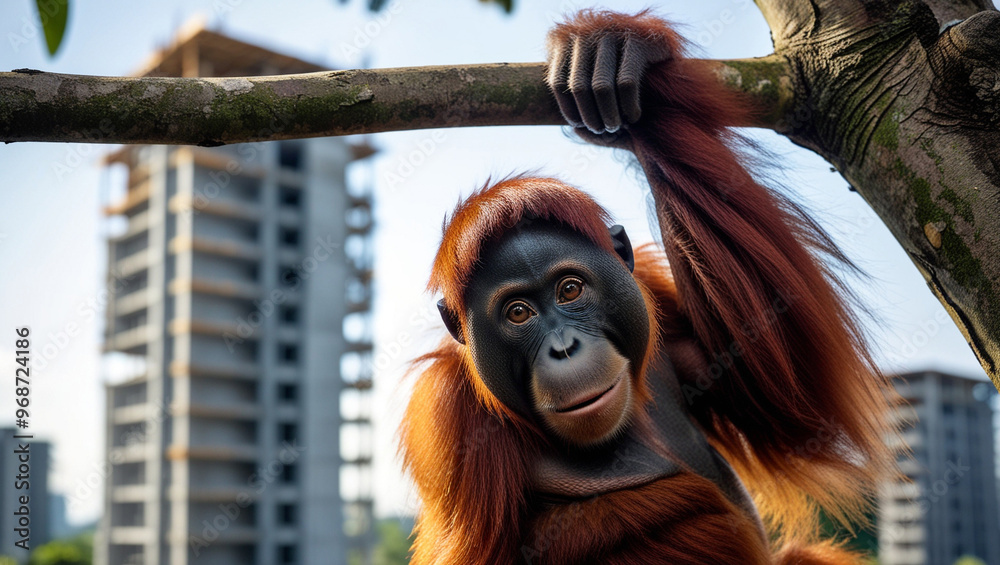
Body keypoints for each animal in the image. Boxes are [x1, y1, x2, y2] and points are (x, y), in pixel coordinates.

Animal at [399, 10, 898, 565]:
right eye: (518, 313)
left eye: (569, 290)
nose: (564, 347)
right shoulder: (452, 431)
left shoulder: (654, 302)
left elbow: (787, 397)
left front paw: (613, 52)